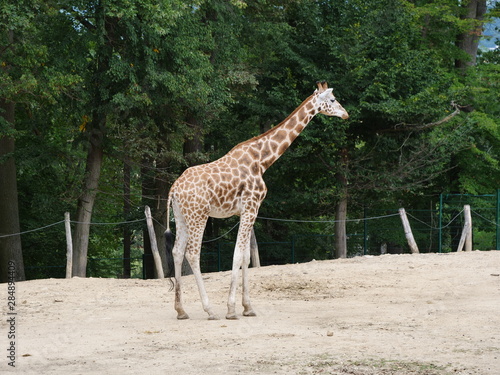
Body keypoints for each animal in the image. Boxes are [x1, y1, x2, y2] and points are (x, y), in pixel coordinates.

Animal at [164, 81, 348, 320]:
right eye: (333, 100)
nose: (346, 114)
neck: (262, 160)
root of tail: (174, 188)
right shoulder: (251, 206)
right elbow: (237, 255)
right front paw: (231, 309)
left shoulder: (248, 210)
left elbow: (246, 257)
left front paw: (247, 307)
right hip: (199, 215)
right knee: (192, 253)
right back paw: (209, 310)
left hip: (181, 216)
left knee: (177, 252)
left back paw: (181, 310)